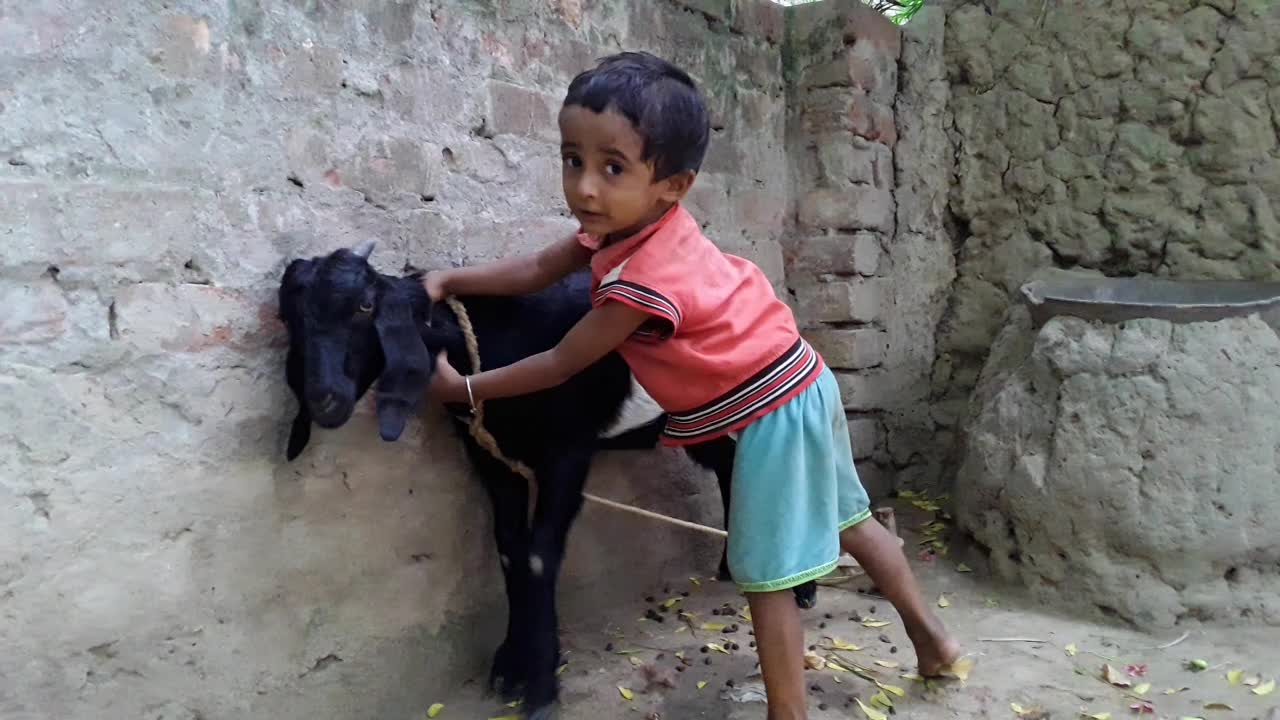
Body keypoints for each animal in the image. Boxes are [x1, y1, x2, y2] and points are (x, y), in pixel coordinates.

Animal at [279, 242, 814, 717]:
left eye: (364, 306)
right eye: (290, 317)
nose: (325, 398)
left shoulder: (568, 450)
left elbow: (539, 556)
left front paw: (540, 686)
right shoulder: (489, 453)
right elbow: (510, 551)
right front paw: (509, 670)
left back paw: (802, 589)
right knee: (727, 467)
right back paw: (730, 568)